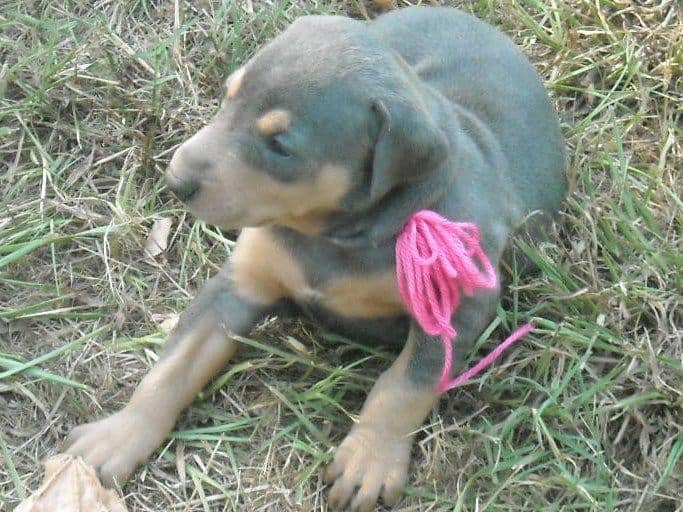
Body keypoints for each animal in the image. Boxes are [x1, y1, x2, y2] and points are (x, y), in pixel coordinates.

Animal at [64, 6, 568, 510]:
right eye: (228, 96)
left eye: (281, 146)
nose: (174, 179)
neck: (329, 236)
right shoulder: (239, 284)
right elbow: (174, 367)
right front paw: (118, 436)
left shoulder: (457, 307)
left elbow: (406, 383)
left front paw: (369, 460)